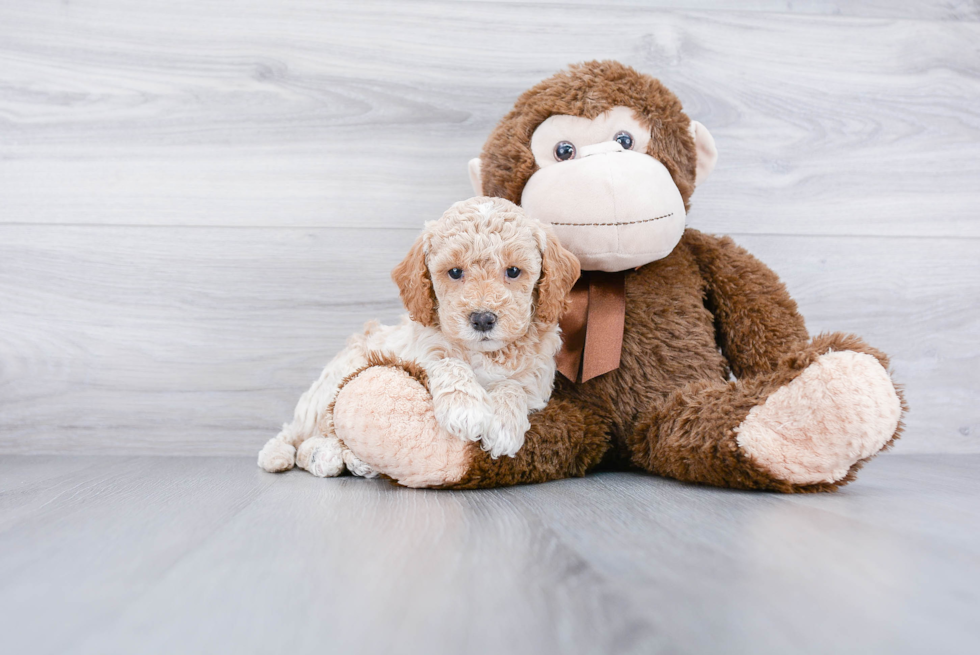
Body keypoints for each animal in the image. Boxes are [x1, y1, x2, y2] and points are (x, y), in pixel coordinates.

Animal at [260, 197, 580, 480]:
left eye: (513, 271)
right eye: (455, 272)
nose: (482, 319)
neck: (484, 353)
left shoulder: (537, 381)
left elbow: (513, 386)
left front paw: (503, 426)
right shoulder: (421, 352)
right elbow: (450, 363)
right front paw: (465, 409)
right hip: (336, 382)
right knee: (308, 437)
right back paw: (327, 457)